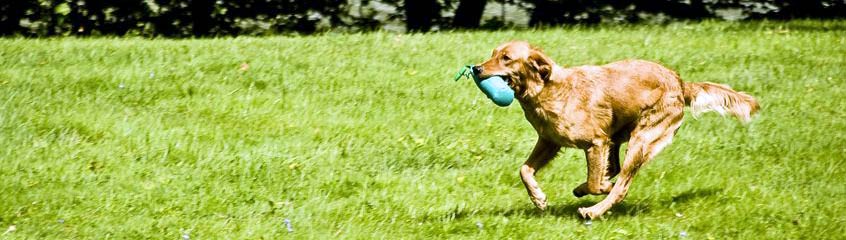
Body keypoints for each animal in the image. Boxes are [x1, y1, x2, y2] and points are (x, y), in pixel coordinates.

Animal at [476, 41, 760, 219]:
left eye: (506, 58)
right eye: (493, 53)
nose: (477, 69)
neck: (549, 90)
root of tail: (679, 82)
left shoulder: (596, 142)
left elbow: (596, 183)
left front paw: (599, 188)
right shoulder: (550, 141)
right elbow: (524, 170)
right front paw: (538, 198)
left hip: (641, 140)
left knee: (622, 185)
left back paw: (593, 210)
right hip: (618, 136)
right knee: (614, 170)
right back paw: (584, 191)